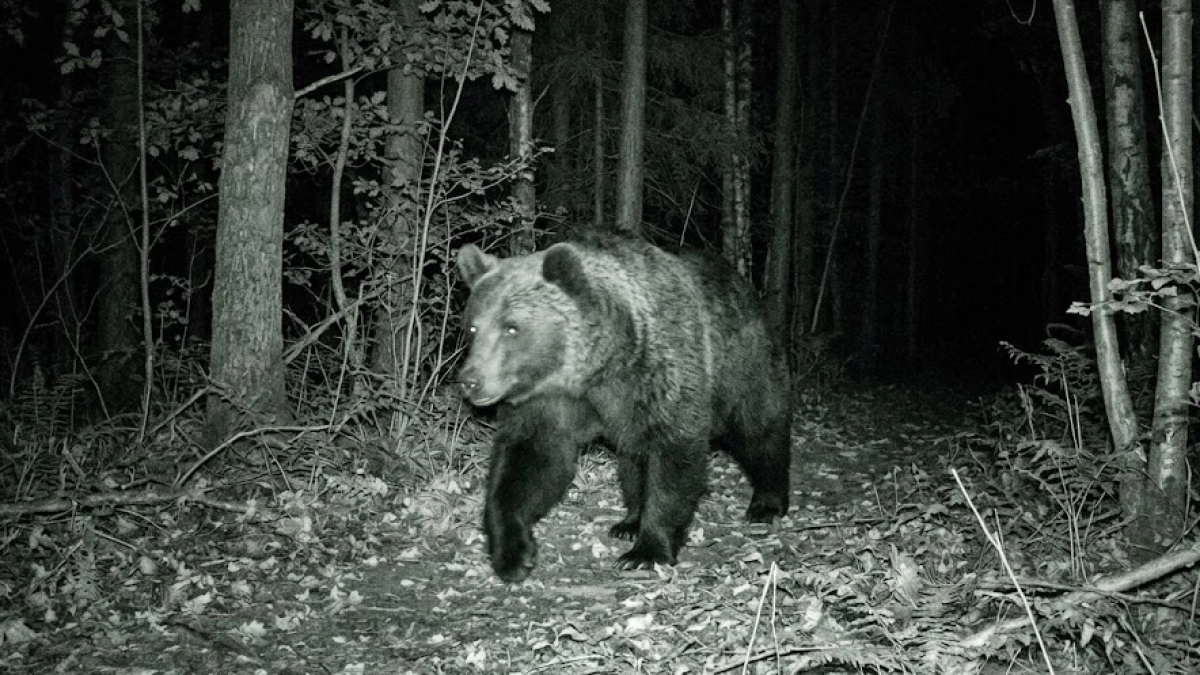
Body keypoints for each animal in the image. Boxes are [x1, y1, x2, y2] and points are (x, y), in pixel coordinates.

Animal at [456, 235, 792, 583]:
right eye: (472, 328)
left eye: (511, 328)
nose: (470, 380)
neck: (595, 368)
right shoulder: (547, 403)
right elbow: (527, 462)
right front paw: (513, 554)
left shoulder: (660, 372)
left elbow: (673, 454)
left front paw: (646, 551)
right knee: (633, 459)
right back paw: (629, 521)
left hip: (744, 364)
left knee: (759, 428)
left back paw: (767, 503)